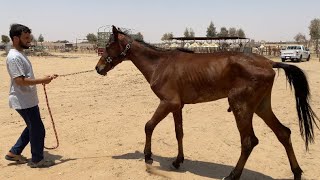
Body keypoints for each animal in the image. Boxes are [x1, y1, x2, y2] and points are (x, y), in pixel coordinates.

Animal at [94, 25, 318, 180]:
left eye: (107, 45)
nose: (98, 68)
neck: (160, 64)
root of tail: (268, 62)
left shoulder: (167, 103)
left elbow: (148, 126)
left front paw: (148, 157)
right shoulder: (177, 106)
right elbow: (179, 132)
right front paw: (178, 161)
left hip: (241, 107)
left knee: (249, 141)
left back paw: (233, 175)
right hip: (262, 107)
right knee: (283, 133)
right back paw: (297, 172)